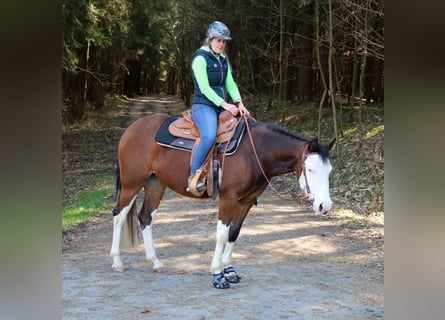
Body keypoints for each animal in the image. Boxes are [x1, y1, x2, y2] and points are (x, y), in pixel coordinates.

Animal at [109, 114, 334, 288]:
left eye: (329, 171)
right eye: (310, 169)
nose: (325, 206)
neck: (254, 152)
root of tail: (131, 129)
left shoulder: (246, 201)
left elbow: (233, 233)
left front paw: (229, 270)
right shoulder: (228, 199)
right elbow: (221, 235)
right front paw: (217, 273)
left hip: (155, 184)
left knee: (145, 217)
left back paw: (155, 262)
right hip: (131, 184)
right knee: (118, 216)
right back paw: (117, 262)